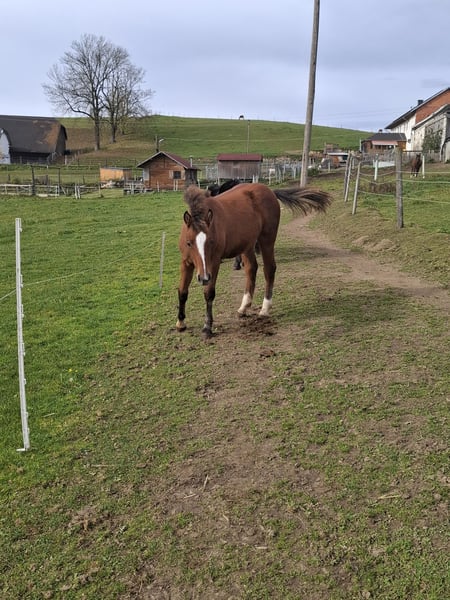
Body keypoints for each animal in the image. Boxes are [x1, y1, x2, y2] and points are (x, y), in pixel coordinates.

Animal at [176, 182, 333, 338]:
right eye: (189, 243)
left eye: (211, 242)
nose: (203, 278)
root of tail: (269, 191)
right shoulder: (185, 263)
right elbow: (182, 291)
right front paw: (180, 323)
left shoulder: (213, 263)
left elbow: (209, 293)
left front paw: (207, 327)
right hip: (247, 245)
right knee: (251, 268)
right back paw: (244, 307)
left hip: (267, 239)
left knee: (269, 269)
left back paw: (265, 309)